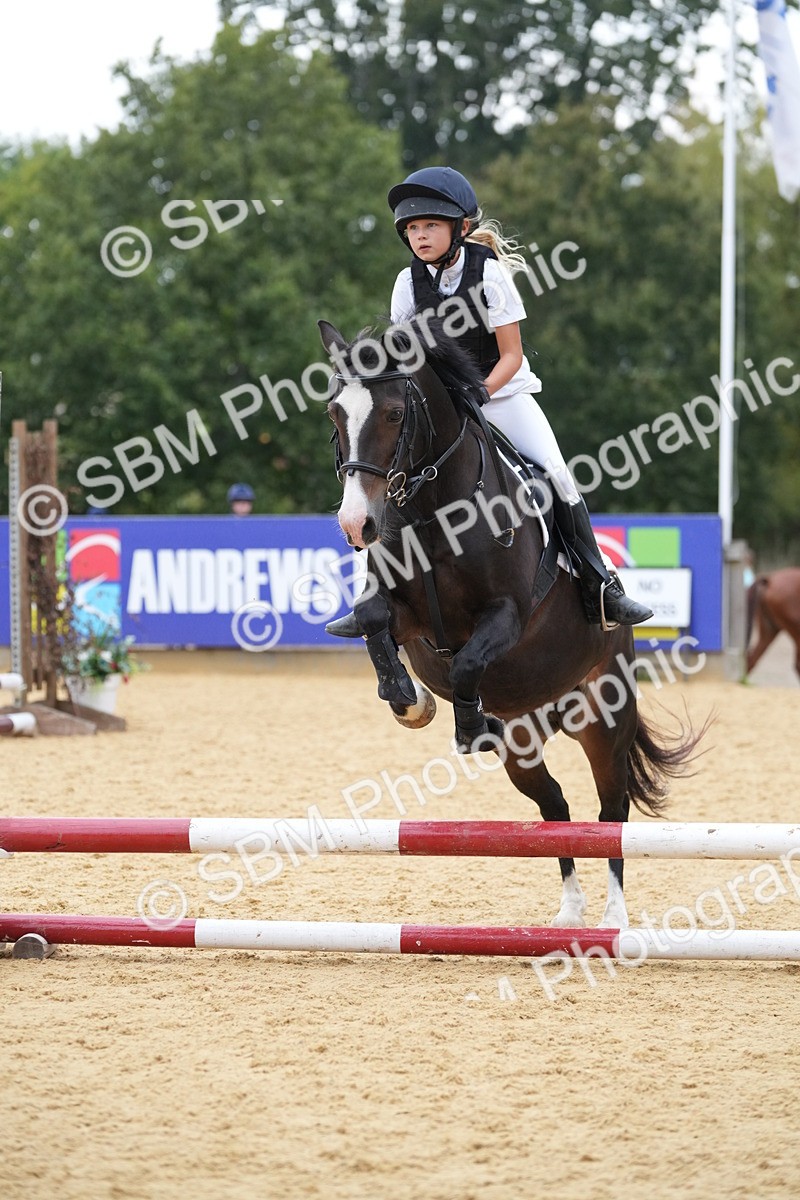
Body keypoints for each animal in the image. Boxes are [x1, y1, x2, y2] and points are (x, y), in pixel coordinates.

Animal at [320, 315, 703, 929]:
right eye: (335, 414)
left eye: (395, 414)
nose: (358, 524)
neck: (435, 508)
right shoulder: (407, 620)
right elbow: (375, 621)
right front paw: (410, 701)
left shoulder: (508, 617)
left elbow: (469, 661)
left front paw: (468, 726)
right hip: (524, 743)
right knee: (555, 807)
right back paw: (570, 911)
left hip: (605, 717)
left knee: (611, 810)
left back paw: (613, 916)